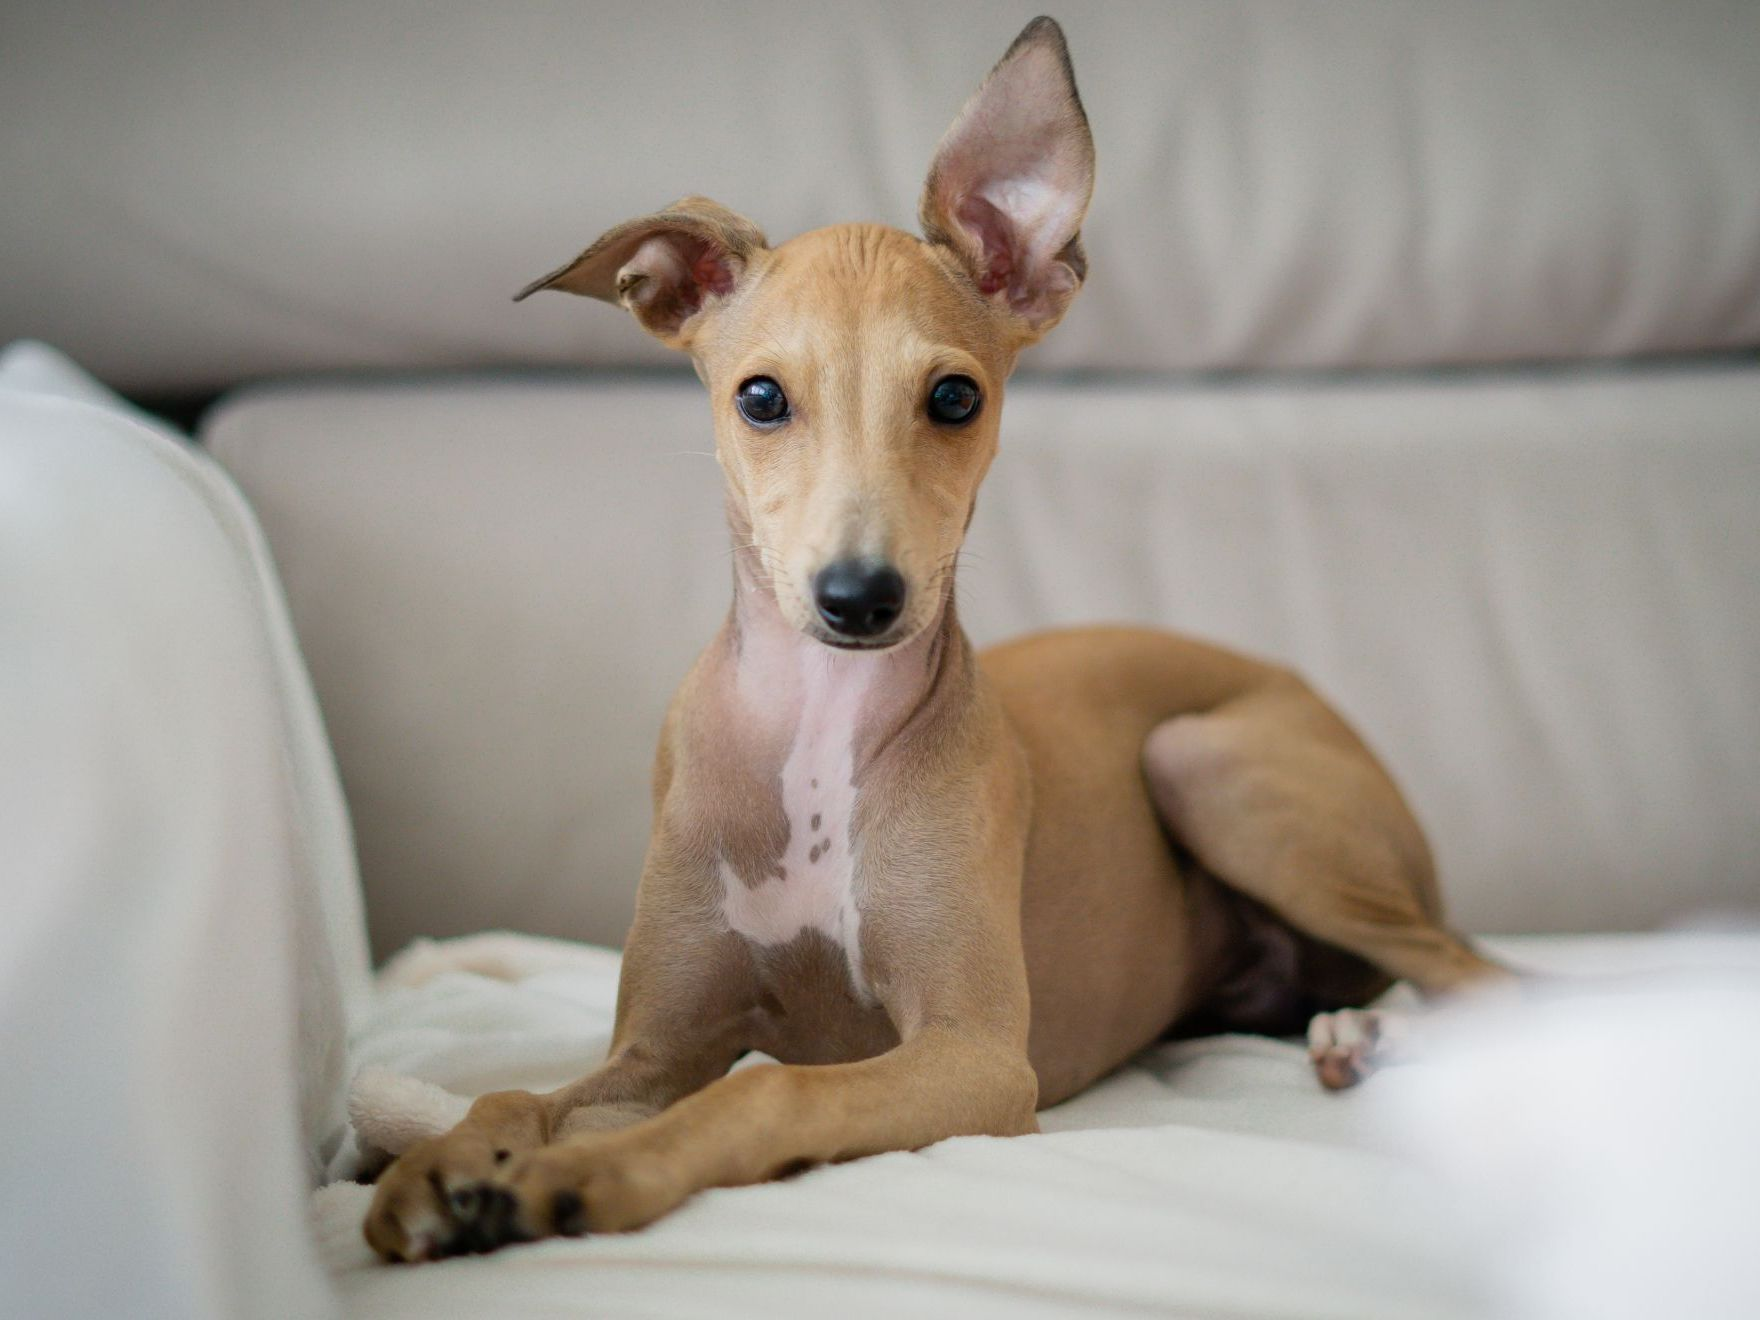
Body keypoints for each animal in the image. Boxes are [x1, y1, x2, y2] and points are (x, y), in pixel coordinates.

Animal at [364, 18, 1506, 1260]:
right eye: (759, 396)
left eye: (955, 397)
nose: (858, 599)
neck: (816, 737)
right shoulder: (658, 1044)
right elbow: (515, 1096)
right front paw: (438, 1171)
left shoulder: (975, 1055)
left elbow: (768, 1088)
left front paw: (592, 1177)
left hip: (1207, 760)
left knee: (1492, 977)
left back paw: (1377, 1039)